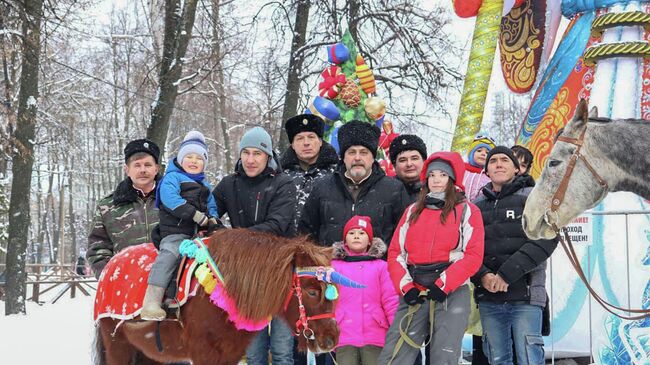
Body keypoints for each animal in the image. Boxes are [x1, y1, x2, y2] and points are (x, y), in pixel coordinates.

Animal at [93, 229, 344, 362]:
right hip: (118, 345)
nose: (330, 340)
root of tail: (110, 264)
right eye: (312, 291)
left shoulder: (230, 355)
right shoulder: (204, 354)